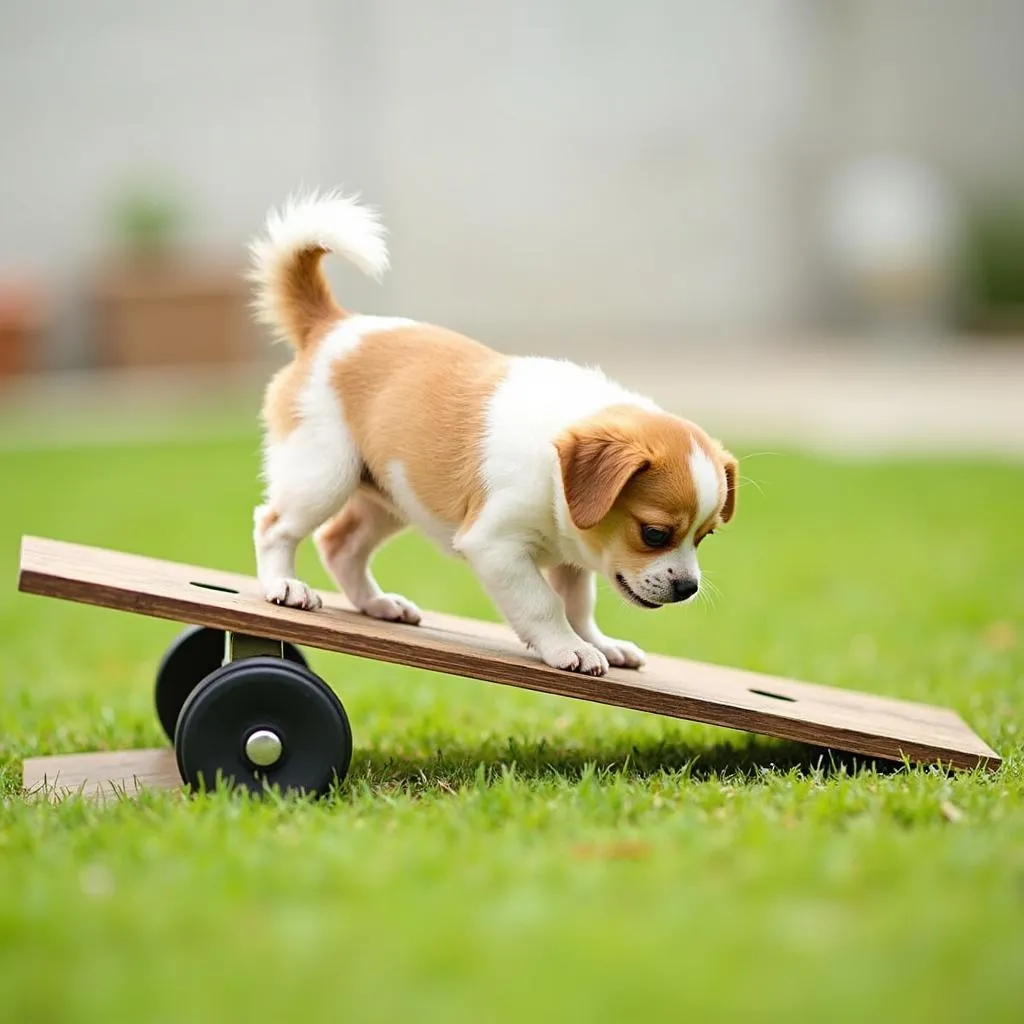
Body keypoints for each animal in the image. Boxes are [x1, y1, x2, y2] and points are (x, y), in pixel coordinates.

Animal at [252, 192, 741, 675]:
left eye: (705, 537)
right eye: (654, 534)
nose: (689, 587)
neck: (553, 471)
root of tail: (334, 324)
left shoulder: (572, 555)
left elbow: (579, 603)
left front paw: (598, 642)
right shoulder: (497, 547)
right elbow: (544, 604)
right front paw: (570, 648)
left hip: (390, 496)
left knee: (340, 545)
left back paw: (378, 604)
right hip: (323, 475)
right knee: (275, 526)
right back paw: (285, 585)